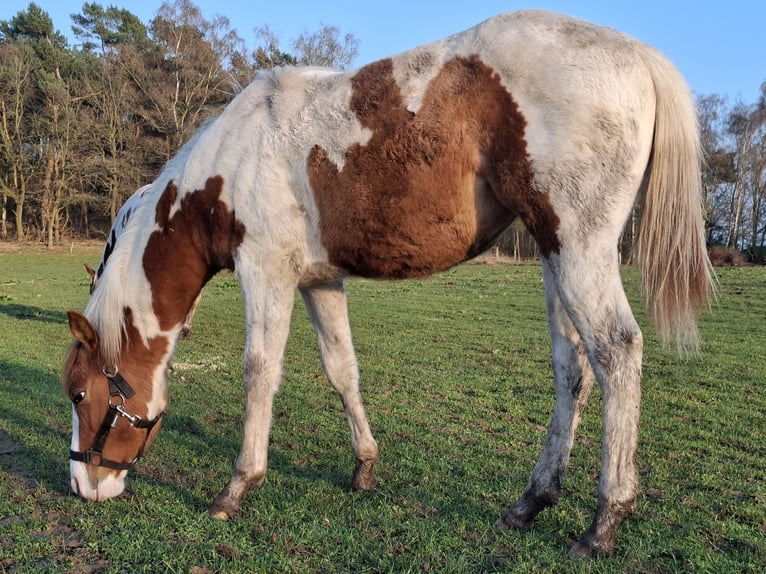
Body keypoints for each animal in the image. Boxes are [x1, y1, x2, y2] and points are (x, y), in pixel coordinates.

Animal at [62, 10, 713, 557]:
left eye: (78, 393)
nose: (84, 484)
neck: (231, 162)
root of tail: (636, 55)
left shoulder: (266, 272)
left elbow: (260, 372)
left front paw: (237, 488)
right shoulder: (320, 282)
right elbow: (342, 369)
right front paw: (365, 467)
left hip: (578, 251)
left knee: (616, 353)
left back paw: (604, 523)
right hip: (554, 255)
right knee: (571, 369)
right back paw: (530, 503)